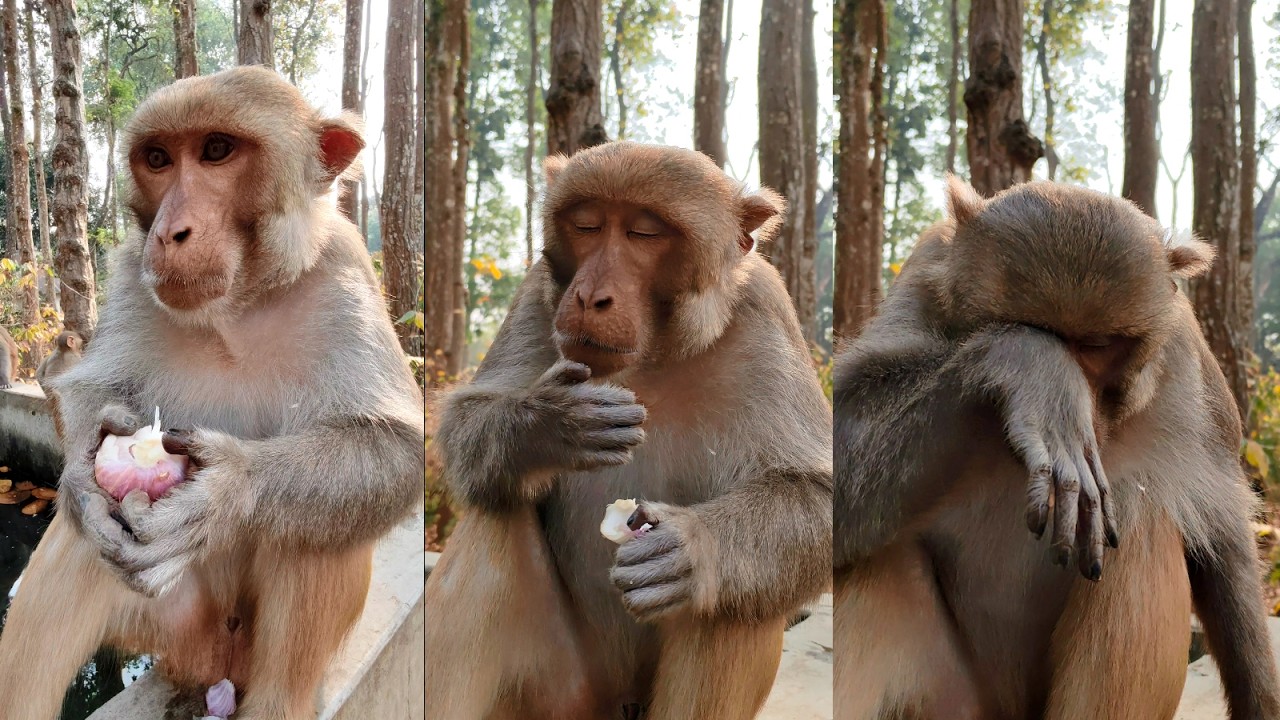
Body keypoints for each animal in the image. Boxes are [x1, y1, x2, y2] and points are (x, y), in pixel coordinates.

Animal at [0, 66, 424, 720]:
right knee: (79, 543)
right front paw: (78, 488)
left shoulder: (345, 266)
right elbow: (94, 391)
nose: (170, 233)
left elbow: (396, 447)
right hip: (173, 630)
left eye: (217, 150)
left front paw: (224, 492)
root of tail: (217, 665)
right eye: (157, 159)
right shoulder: (132, 268)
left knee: (323, 523)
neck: (237, 307)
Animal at [425, 141, 832, 720]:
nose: (590, 296)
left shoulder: (765, 309)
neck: (655, 355)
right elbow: (467, 419)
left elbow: (816, 492)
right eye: (588, 225)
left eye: (644, 233)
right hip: (563, 692)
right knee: (495, 514)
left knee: (731, 600)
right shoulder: (537, 290)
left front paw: (693, 549)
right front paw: (547, 426)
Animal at [832, 177, 1280, 720]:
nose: (1082, 406)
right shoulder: (925, 268)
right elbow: (838, 433)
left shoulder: (1188, 362)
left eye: (1097, 346)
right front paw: (1038, 369)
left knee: (1139, 512)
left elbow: (1222, 539)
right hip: (958, 698)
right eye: (1034, 328)